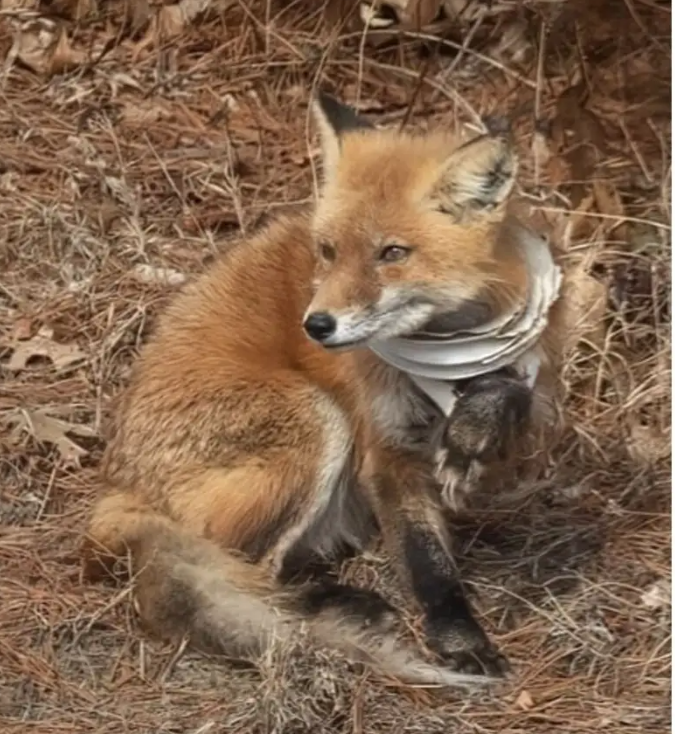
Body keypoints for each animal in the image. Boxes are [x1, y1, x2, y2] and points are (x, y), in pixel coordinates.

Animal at [82, 91, 566, 688]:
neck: (445, 356)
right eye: (329, 251)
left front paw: (473, 427)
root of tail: (117, 484)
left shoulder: (534, 396)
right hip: (316, 416)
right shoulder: (384, 450)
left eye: (392, 253)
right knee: (245, 571)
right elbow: (428, 563)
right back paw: (332, 607)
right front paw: (461, 641)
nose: (316, 325)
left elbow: (507, 397)